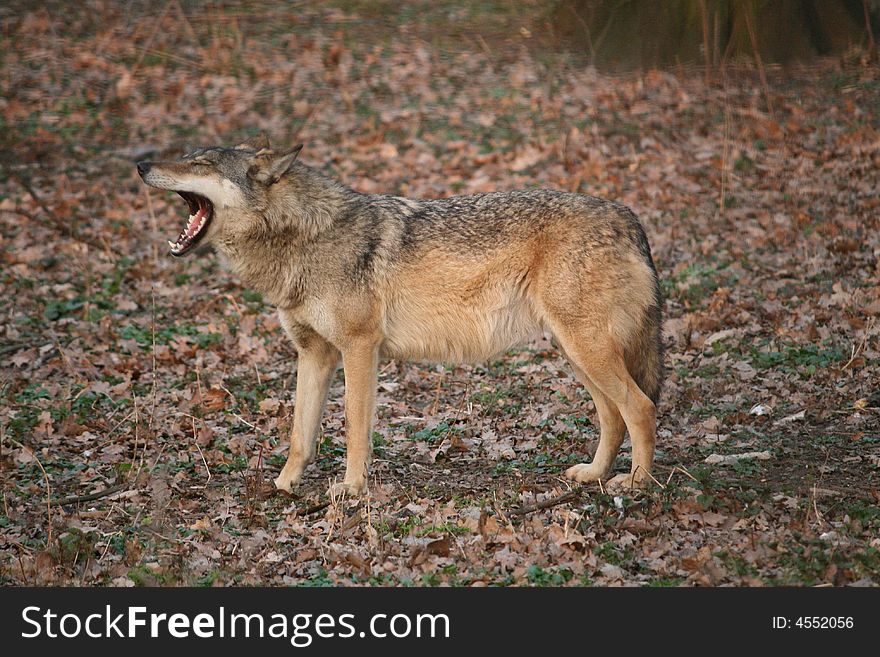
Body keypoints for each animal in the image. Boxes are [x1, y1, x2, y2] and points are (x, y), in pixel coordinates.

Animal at [136, 140, 660, 498]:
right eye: (189, 156)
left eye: (201, 164)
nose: (140, 164)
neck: (305, 237)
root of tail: (629, 215)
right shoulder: (313, 354)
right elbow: (300, 435)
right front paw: (284, 486)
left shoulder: (359, 348)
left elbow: (353, 428)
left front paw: (351, 491)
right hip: (577, 354)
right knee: (613, 416)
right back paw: (594, 475)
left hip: (586, 351)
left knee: (640, 408)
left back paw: (636, 484)